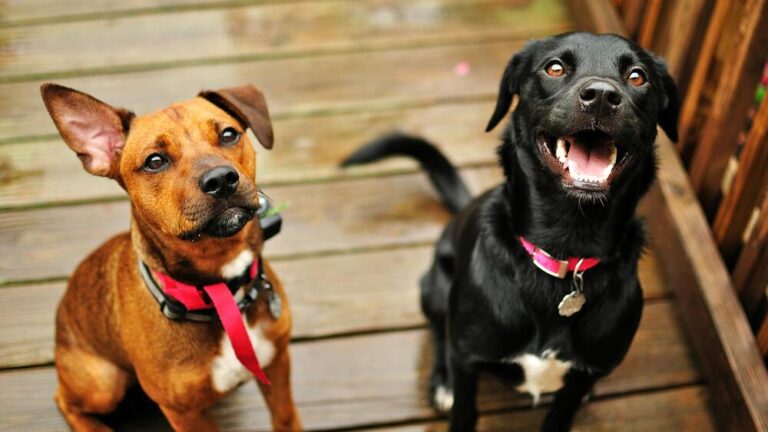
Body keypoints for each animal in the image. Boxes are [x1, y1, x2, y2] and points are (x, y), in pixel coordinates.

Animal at [39, 82, 300, 430]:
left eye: (229, 134)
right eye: (155, 161)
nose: (221, 179)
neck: (221, 290)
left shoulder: (277, 362)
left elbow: (286, 418)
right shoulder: (184, 413)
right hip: (103, 383)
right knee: (63, 399)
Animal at [342, 33, 680, 432]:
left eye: (637, 76)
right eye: (554, 68)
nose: (601, 95)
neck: (565, 250)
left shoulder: (581, 379)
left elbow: (560, 414)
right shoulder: (467, 358)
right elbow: (463, 410)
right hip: (434, 289)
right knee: (439, 332)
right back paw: (442, 382)